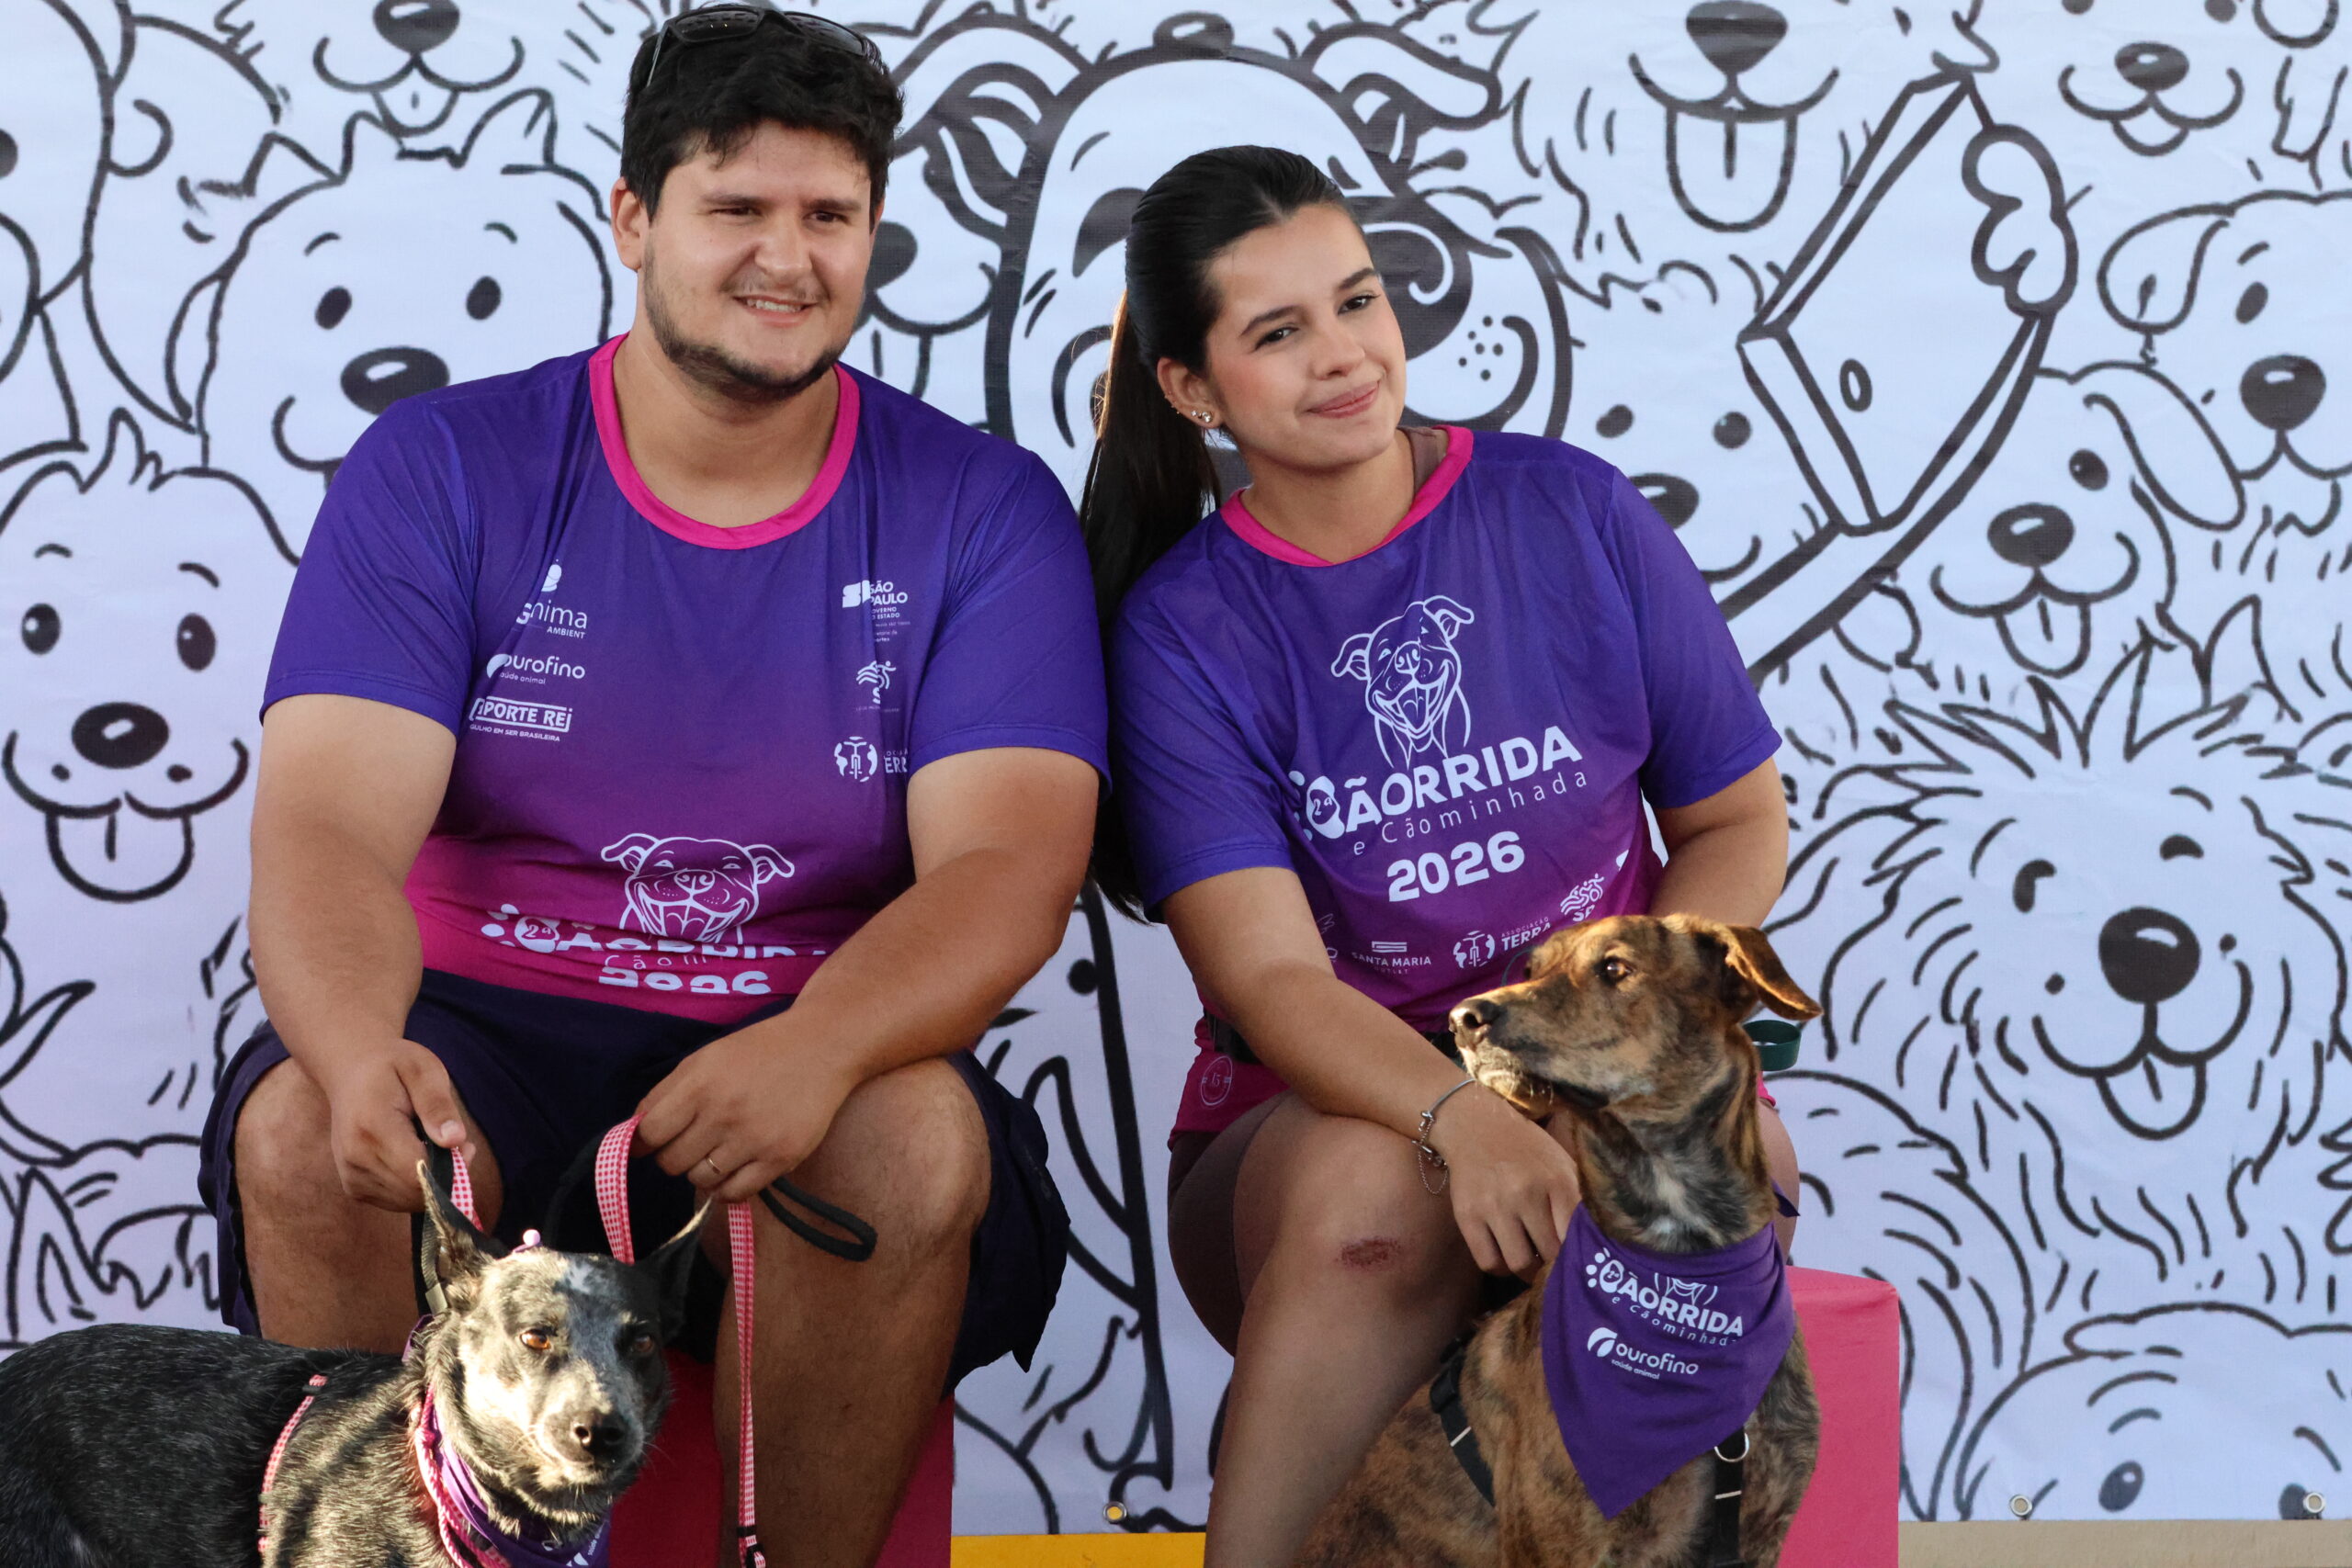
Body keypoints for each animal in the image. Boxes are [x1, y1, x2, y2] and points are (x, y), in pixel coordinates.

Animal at [1295, 915, 1822, 1567]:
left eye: (1615, 968)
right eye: (1531, 969)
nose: (1462, 1018)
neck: (1684, 1267)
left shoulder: (1761, 1535)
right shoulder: (1562, 1545)